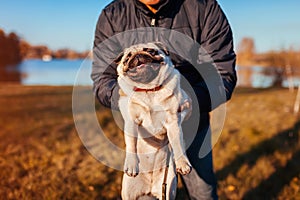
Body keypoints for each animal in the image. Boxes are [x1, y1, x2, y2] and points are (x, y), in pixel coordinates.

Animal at [116, 42, 191, 200]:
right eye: (127, 58)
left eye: (151, 51)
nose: (138, 55)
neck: (149, 90)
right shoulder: (131, 122)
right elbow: (131, 144)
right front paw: (132, 164)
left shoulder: (173, 122)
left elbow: (177, 144)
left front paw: (182, 163)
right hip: (128, 194)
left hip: (168, 190)